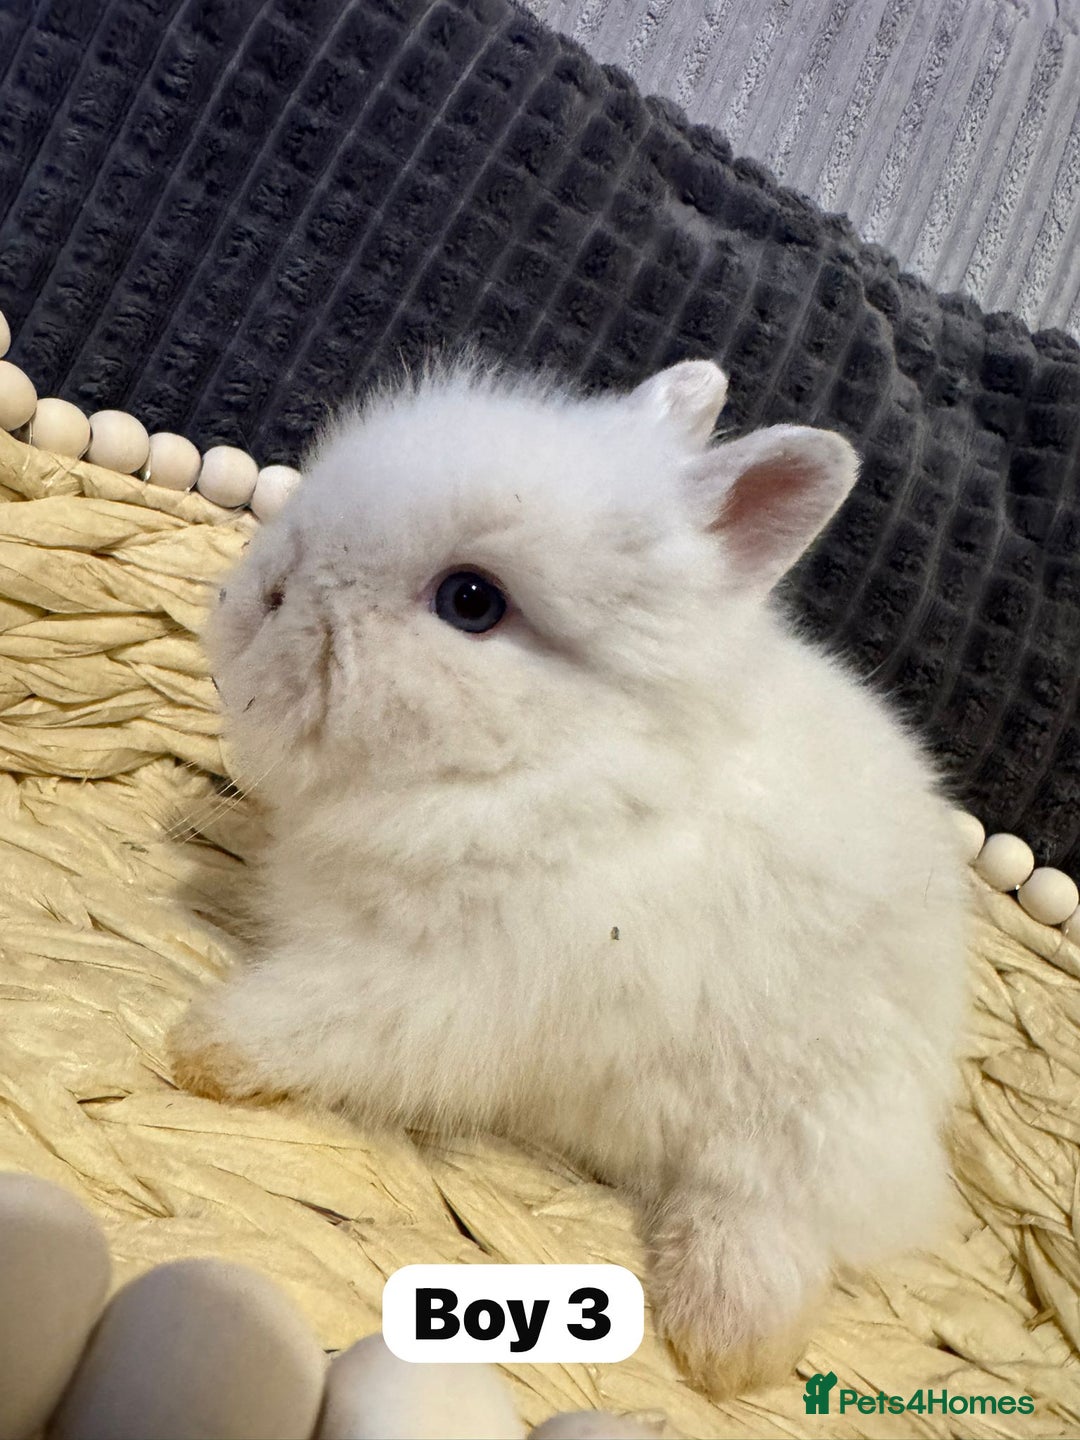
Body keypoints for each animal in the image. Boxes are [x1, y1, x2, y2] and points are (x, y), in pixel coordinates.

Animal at [170, 356, 969, 1398]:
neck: (555, 764)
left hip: (802, 1121)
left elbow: (317, 1020)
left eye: (472, 600)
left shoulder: (444, 988)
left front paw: (202, 1048)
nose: (260, 593)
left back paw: (724, 1346)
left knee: (772, 1217)